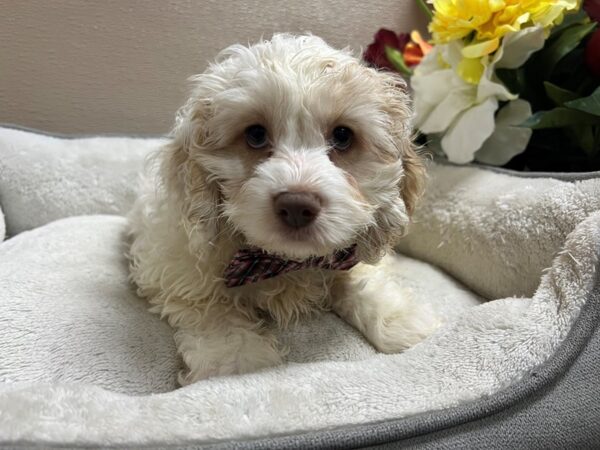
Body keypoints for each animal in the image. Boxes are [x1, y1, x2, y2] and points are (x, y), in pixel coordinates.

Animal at [127, 34, 436, 384]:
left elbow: (363, 280)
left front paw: (403, 322)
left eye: (343, 136)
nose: (297, 206)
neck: (283, 262)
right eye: (255, 134)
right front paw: (236, 363)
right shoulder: (179, 268)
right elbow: (214, 313)